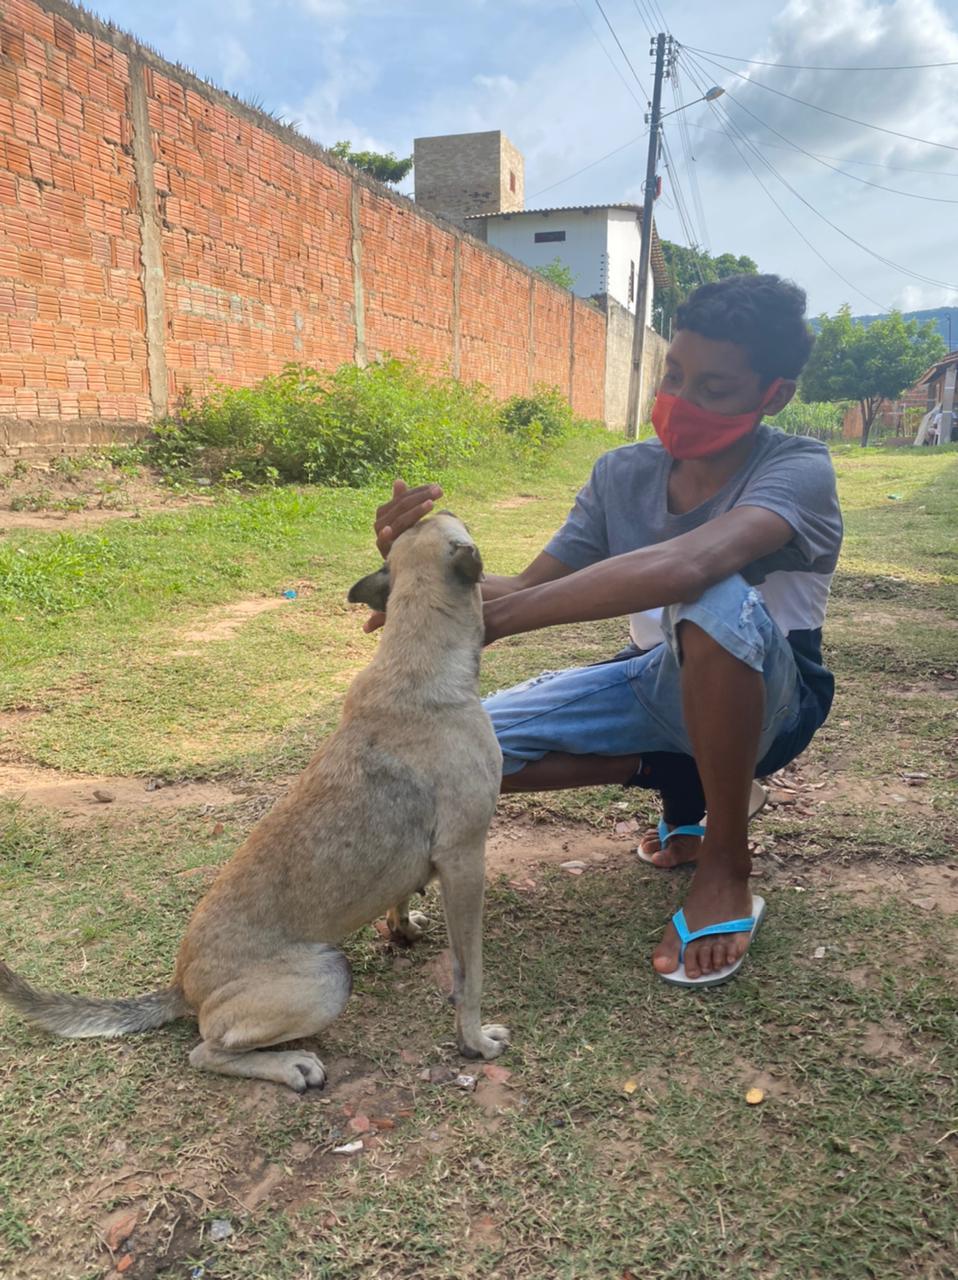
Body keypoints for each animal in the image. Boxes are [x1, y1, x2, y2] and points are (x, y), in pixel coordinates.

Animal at [0, 509, 509, 1090]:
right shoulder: (465, 859)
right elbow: (469, 976)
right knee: (207, 1050)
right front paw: (474, 1042)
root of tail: (182, 986)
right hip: (326, 975)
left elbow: (401, 898)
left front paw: (402, 928)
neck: (417, 659)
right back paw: (291, 1065)